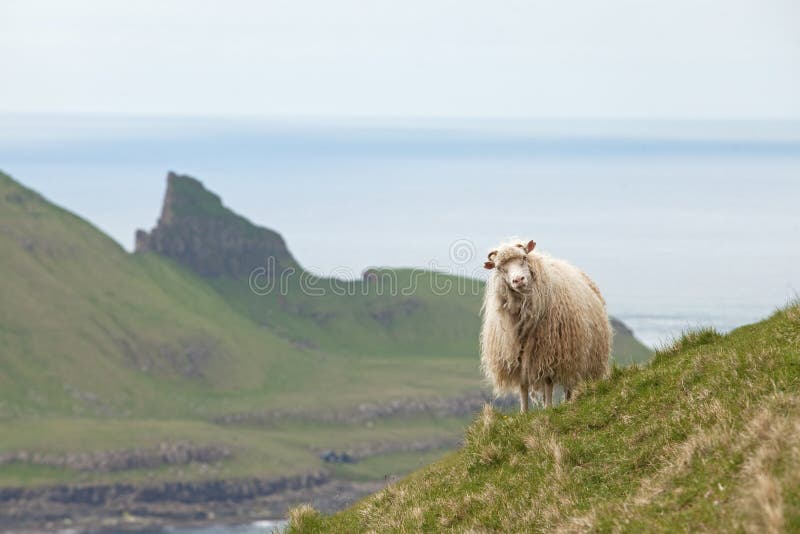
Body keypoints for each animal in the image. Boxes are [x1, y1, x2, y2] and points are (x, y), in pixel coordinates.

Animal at [478, 241, 608, 412]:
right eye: (499, 267)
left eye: (524, 257)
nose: (518, 280)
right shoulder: (518, 357)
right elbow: (523, 385)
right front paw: (524, 413)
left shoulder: (549, 352)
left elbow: (548, 382)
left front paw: (548, 409)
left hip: (577, 355)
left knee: (569, 383)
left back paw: (568, 402)